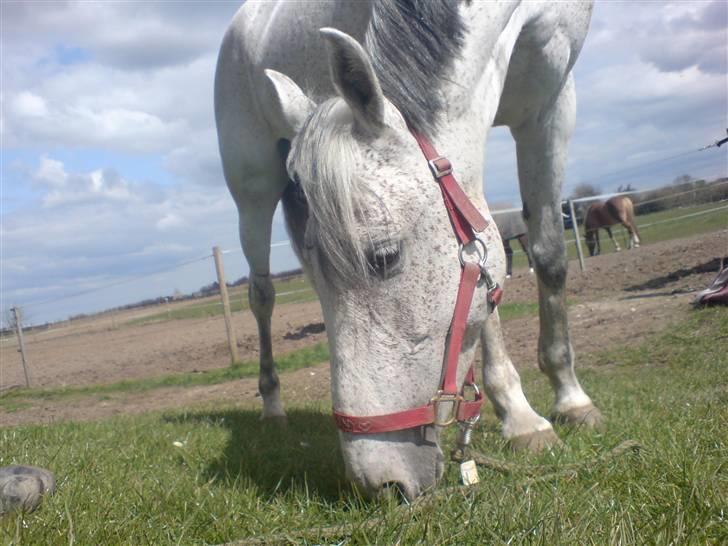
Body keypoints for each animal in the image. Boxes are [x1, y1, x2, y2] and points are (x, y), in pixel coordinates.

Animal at [215, 0, 602, 500]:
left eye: (384, 257)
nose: (379, 482)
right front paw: (520, 416)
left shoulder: (550, 104)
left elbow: (549, 257)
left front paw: (570, 398)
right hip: (253, 189)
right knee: (261, 296)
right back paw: (272, 402)